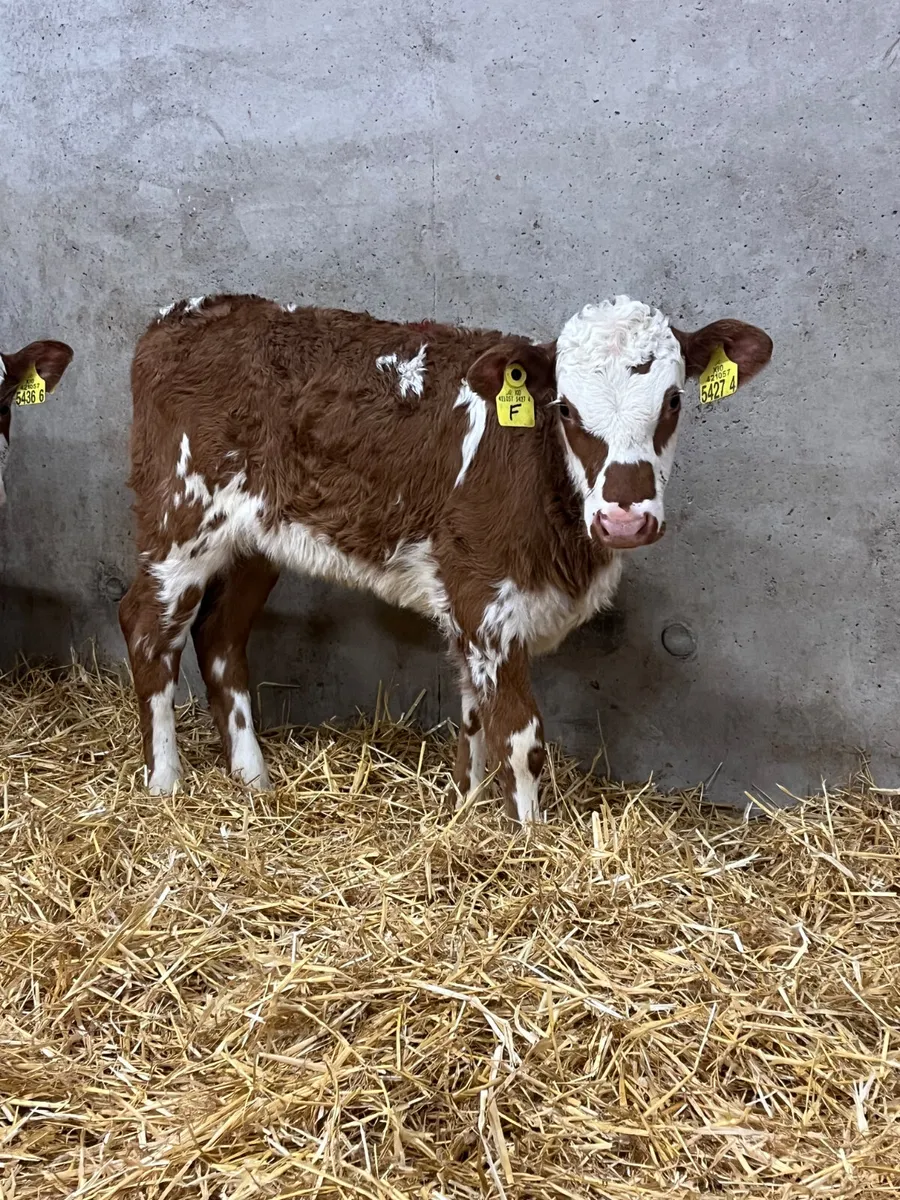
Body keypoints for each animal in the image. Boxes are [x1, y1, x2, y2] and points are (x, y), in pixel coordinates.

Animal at [119, 294, 772, 823]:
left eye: (673, 400)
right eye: (564, 408)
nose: (625, 518)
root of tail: (183, 315)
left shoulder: (470, 607)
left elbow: (474, 718)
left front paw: (463, 809)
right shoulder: (485, 597)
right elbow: (519, 736)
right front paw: (528, 840)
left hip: (256, 539)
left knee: (220, 636)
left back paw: (253, 779)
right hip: (180, 519)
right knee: (147, 628)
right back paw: (165, 783)